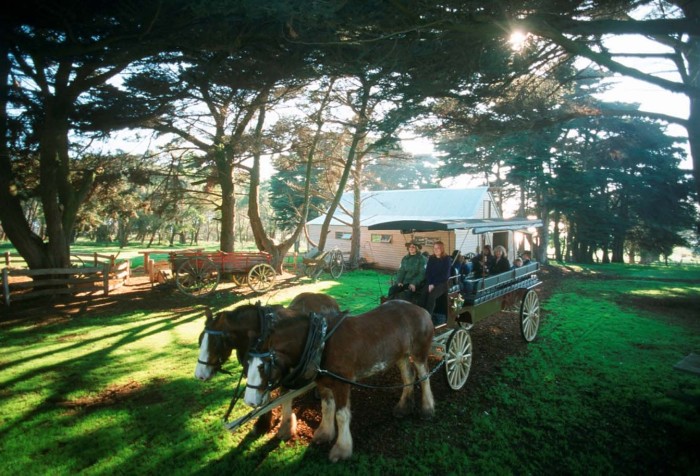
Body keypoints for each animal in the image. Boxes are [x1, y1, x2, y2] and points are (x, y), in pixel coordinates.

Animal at [196, 292, 340, 440]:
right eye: (200, 341)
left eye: (215, 344)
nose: (199, 375)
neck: (262, 330)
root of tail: (325, 297)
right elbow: (264, 397)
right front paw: (262, 423)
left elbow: (284, 395)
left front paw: (286, 427)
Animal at [243, 302, 434, 462]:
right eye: (247, 362)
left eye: (263, 366)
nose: (249, 401)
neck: (320, 342)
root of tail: (421, 309)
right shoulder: (323, 382)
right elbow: (327, 407)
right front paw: (325, 433)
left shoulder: (342, 384)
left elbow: (341, 415)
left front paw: (342, 449)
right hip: (401, 355)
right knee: (408, 376)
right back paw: (403, 407)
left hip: (419, 353)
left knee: (424, 378)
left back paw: (427, 408)